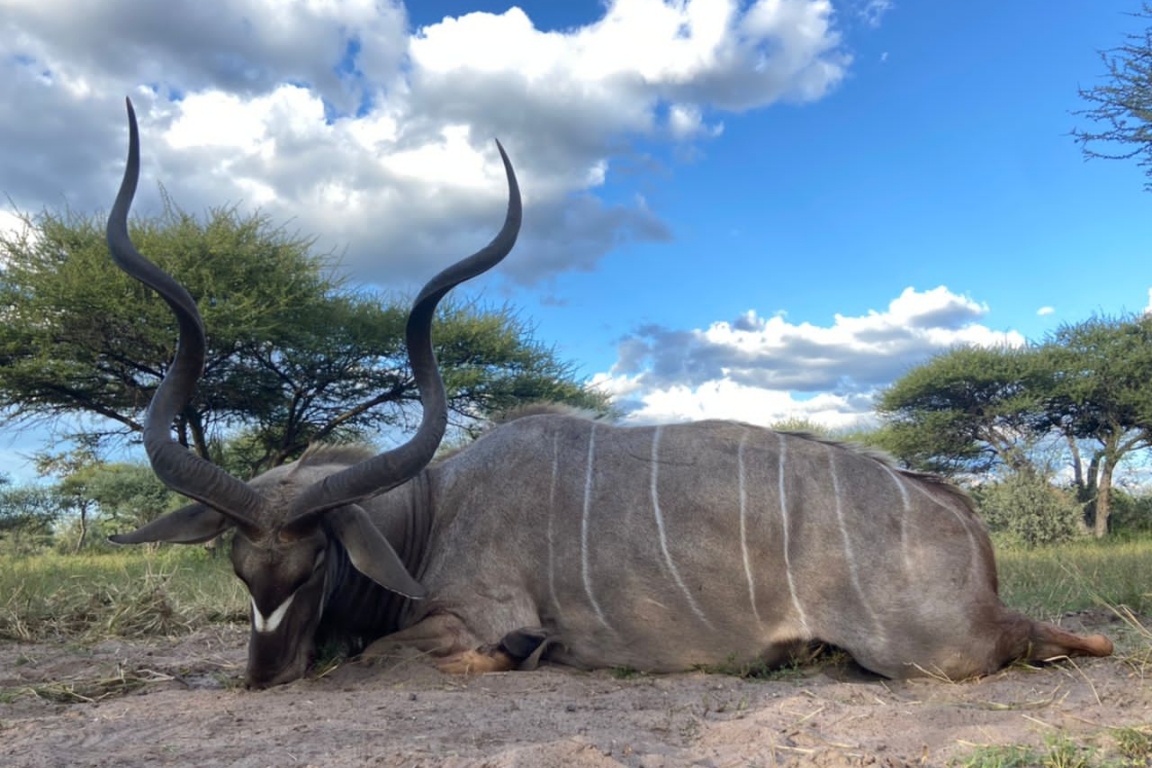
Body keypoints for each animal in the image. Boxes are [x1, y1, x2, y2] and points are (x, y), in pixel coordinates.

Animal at [110, 103, 1115, 690]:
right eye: (237, 566)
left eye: (317, 563)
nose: (264, 675)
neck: (432, 507)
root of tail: (962, 518)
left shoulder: (472, 615)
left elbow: (432, 647)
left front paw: (529, 651)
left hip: (931, 655)